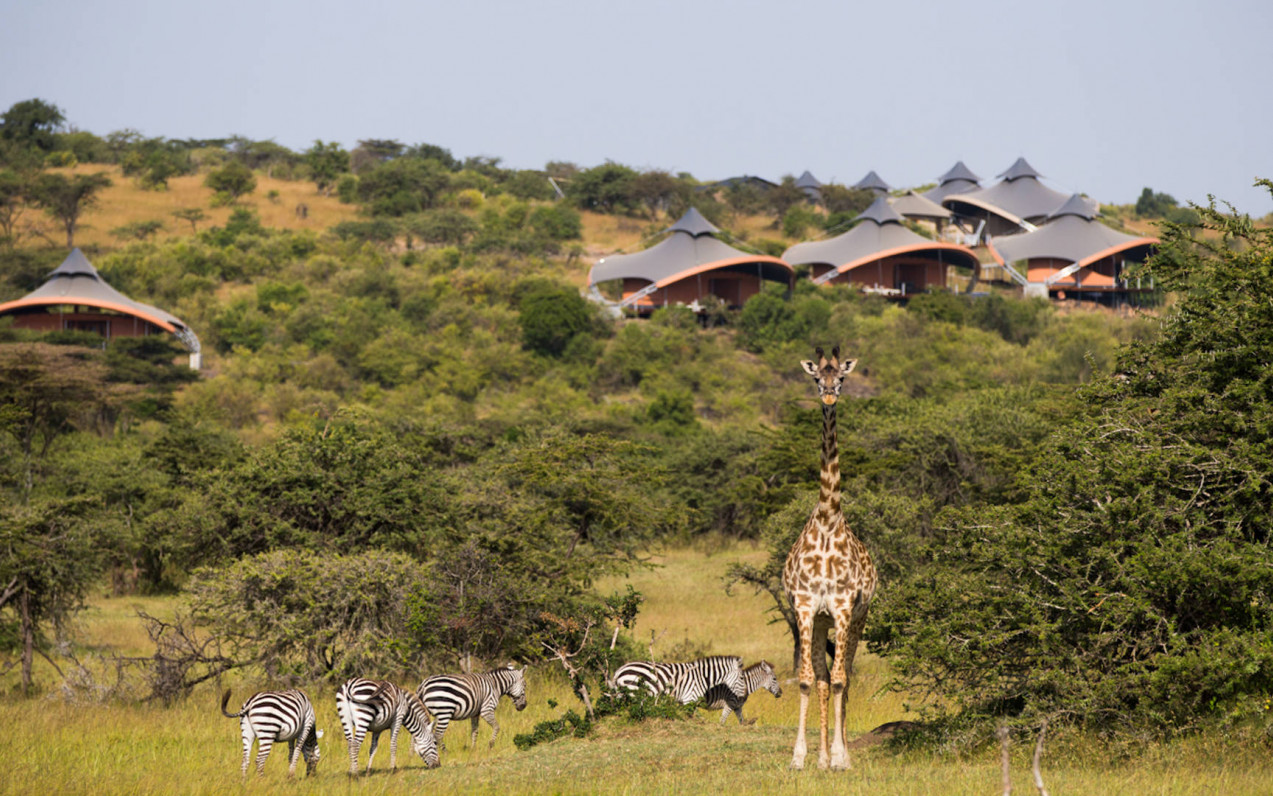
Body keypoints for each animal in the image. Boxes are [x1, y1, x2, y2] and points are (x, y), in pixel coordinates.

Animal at [608, 657, 743, 703]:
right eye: (742, 678)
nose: (742, 698)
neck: (702, 677)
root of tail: (619, 671)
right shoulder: (690, 698)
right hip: (633, 691)